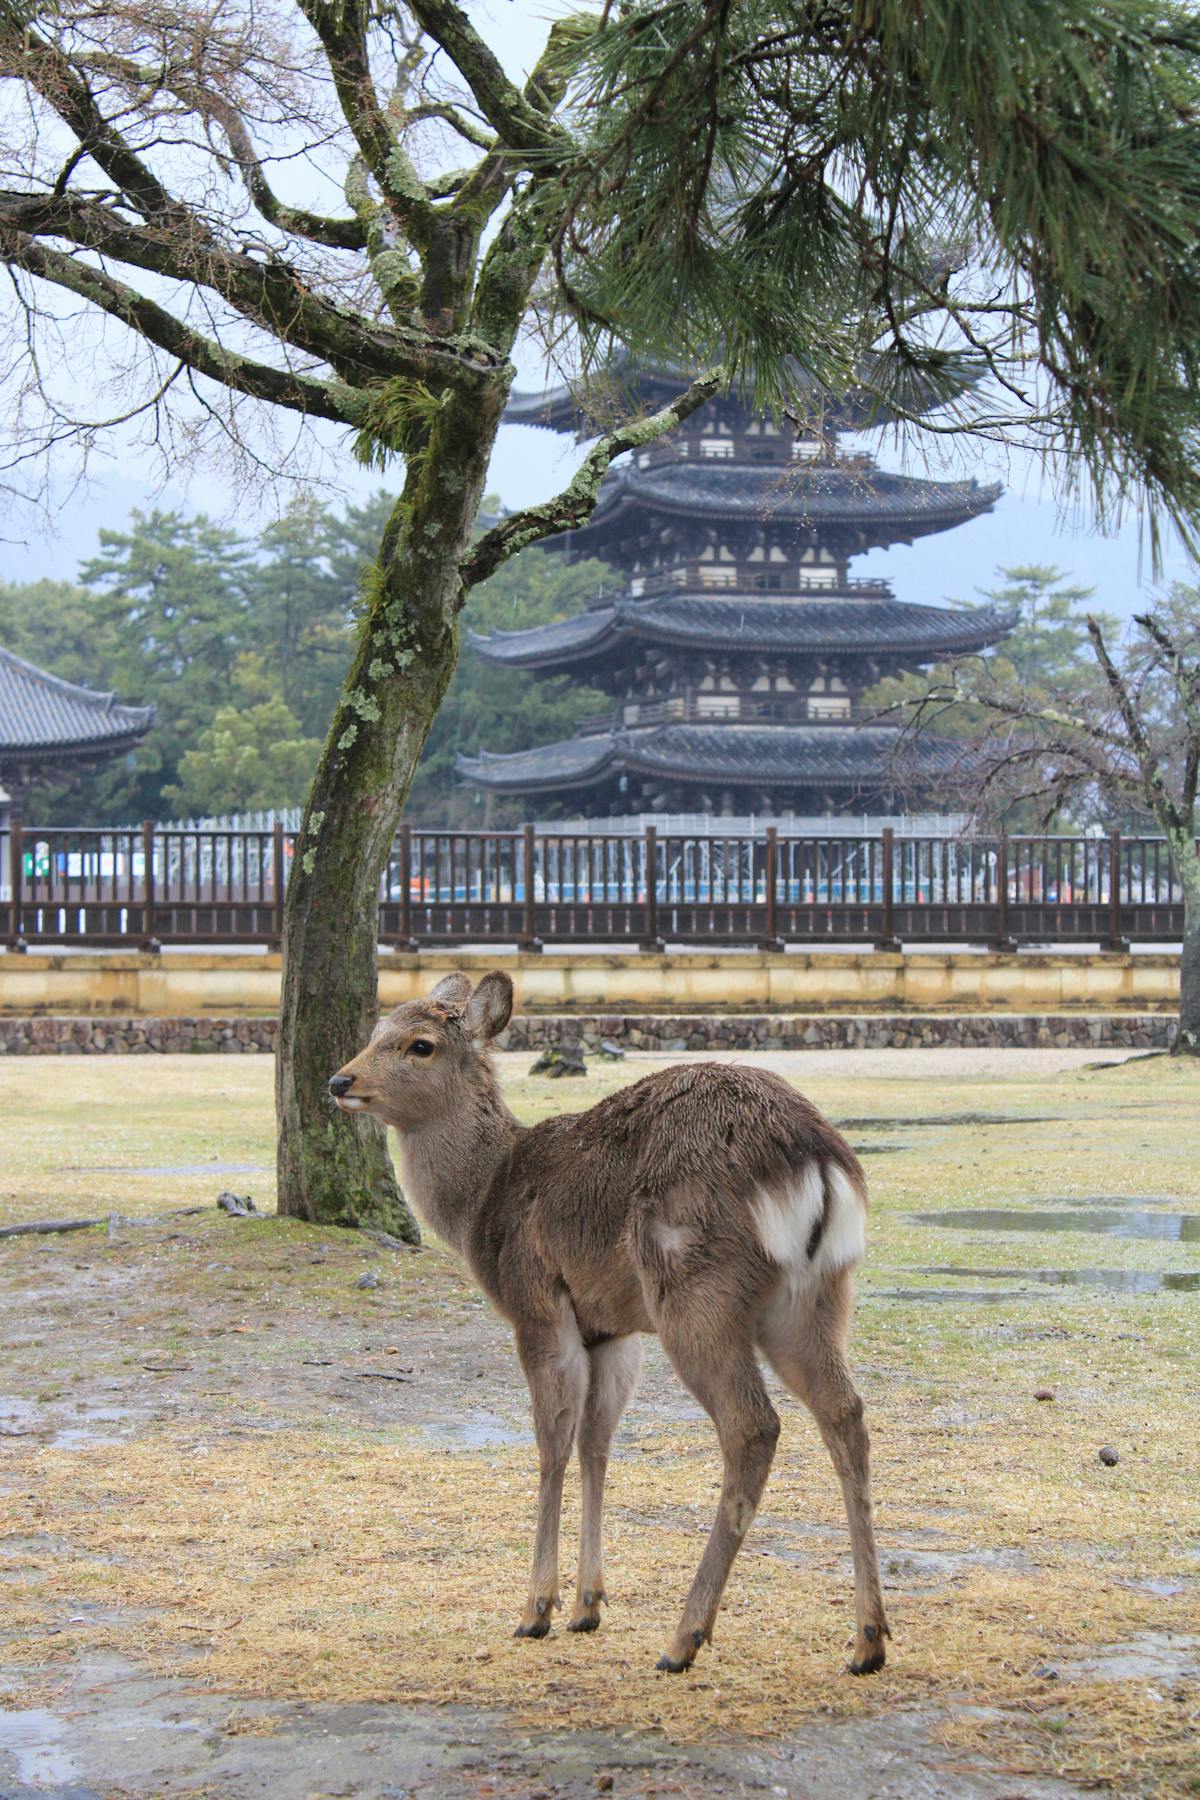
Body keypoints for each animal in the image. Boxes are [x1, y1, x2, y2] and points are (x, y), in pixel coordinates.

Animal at [328, 970, 889, 1677]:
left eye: (420, 1044)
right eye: (377, 1028)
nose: (339, 1081)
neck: (482, 1205)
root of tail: (817, 1161)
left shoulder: (538, 1306)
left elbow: (552, 1443)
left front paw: (536, 1610)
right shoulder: (612, 1331)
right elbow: (597, 1441)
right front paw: (587, 1606)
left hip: (696, 1294)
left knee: (753, 1425)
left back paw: (683, 1639)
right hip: (818, 1295)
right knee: (846, 1412)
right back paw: (868, 1640)